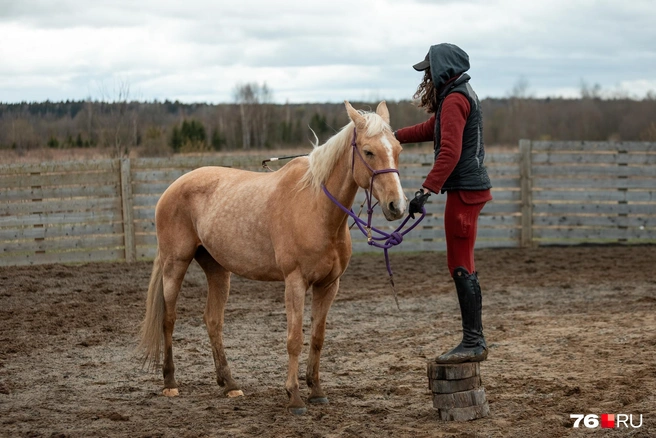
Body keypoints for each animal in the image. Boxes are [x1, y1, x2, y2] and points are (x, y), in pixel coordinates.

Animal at [139, 101, 407, 414]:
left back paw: (229, 384)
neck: (316, 207)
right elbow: (294, 339)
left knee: (213, 321)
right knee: (169, 319)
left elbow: (317, 338)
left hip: (218, 270)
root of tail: (172, 188)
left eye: (397, 149)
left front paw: (316, 390)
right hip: (175, 264)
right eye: (368, 151)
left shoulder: (328, 285)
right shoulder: (295, 282)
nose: (397, 206)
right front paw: (294, 396)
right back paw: (170, 382)